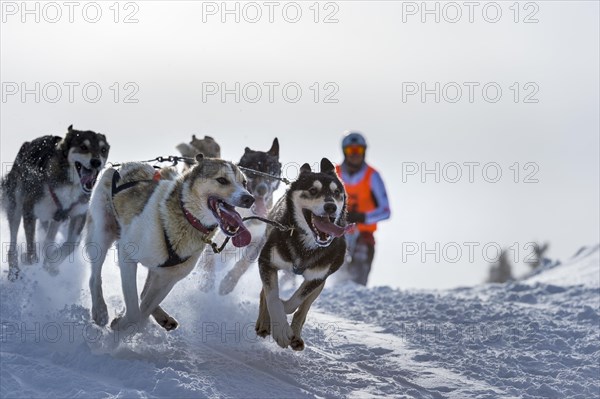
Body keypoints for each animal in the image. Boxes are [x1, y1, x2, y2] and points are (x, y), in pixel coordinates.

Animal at [2, 126, 109, 282]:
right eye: (83, 147)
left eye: (103, 150)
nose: (96, 162)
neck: (71, 185)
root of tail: (26, 144)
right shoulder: (29, 210)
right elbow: (31, 247)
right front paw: (32, 260)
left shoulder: (78, 214)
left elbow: (70, 245)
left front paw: (51, 262)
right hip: (15, 205)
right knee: (13, 243)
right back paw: (13, 270)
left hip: (55, 219)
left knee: (49, 238)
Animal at [198, 139, 280, 296]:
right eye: (253, 172)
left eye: (272, 173)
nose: (262, 189)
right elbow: (208, 260)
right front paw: (207, 282)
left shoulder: (258, 240)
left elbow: (244, 263)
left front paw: (228, 282)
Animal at [254, 158, 352, 352]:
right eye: (313, 190)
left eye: (337, 192)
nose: (331, 206)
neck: (306, 244)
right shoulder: (267, 261)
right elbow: (272, 297)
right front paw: (280, 330)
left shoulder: (317, 277)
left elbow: (295, 302)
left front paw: (285, 311)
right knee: (264, 293)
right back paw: (264, 323)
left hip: (320, 283)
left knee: (303, 308)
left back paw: (296, 336)